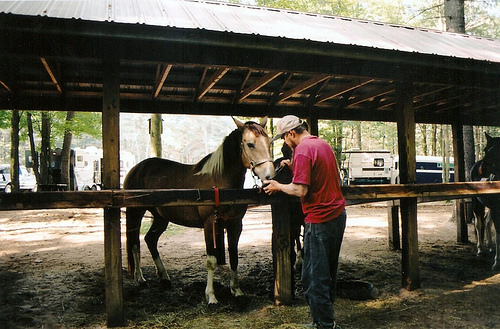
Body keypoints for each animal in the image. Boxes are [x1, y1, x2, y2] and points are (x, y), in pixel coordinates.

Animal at [123, 117, 276, 304]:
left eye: (268, 141)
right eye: (250, 144)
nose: (269, 176)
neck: (220, 182)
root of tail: (137, 168)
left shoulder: (235, 224)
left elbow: (234, 256)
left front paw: (237, 291)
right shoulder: (210, 224)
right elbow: (211, 260)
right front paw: (211, 297)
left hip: (160, 217)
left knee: (150, 240)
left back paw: (165, 278)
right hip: (135, 213)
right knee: (134, 244)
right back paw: (140, 278)